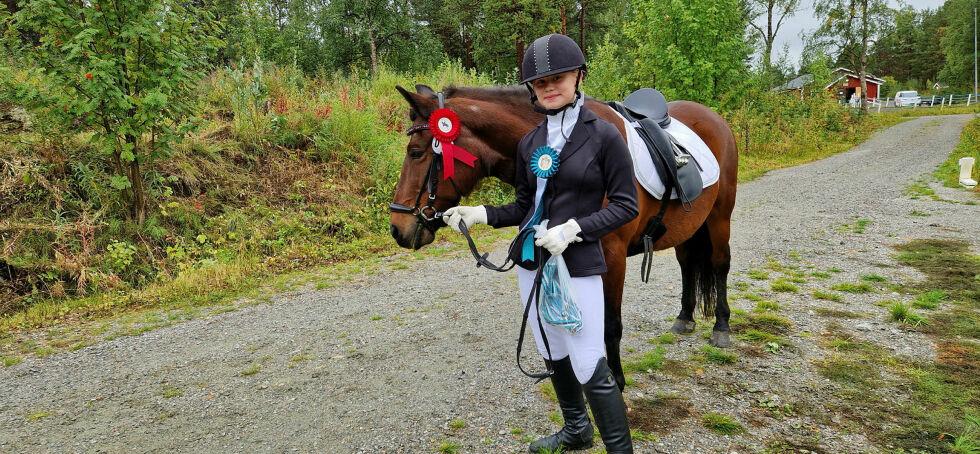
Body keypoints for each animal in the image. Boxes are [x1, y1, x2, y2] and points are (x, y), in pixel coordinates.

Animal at [388, 84, 736, 390]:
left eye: (415, 152)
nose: (396, 228)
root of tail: (713, 117)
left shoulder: (613, 258)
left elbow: (610, 326)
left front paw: (615, 381)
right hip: (689, 229)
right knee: (688, 264)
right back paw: (685, 317)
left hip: (719, 218)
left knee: (720, 264)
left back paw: (721, 326)